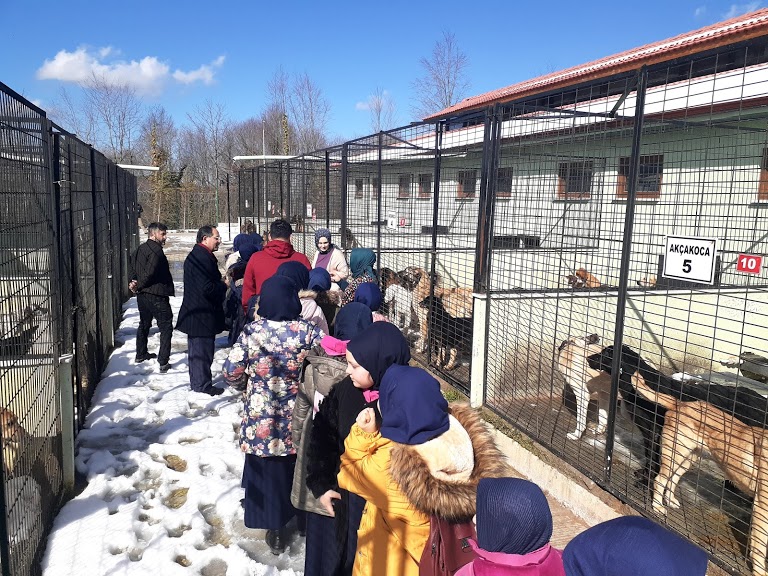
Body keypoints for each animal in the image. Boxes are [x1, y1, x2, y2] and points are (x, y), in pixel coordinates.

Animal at [632, 376, 768, 572]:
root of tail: (680, 403)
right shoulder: (762, 507)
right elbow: (760, 547)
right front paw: (760, 571)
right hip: (675, 455)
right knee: (660, 480)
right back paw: (657, 506)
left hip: (687, 459)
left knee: (672, 479)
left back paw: (670, 500)